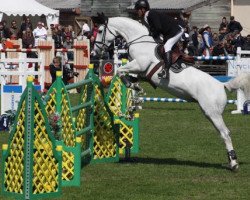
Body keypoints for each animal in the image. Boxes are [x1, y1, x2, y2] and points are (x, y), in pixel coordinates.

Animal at [93, 15, 250, 170]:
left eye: (100, 30)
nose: (94, 52)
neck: (139, 41)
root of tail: (222, 85)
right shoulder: (141, 72)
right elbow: (125, 74)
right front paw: (135, 94)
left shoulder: (139, 65)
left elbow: (120, 71)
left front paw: (132, 86)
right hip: (209, 113)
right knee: (222, 134)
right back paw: (230, 161)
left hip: (213, 113)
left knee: (225, 133)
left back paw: (234, 163)